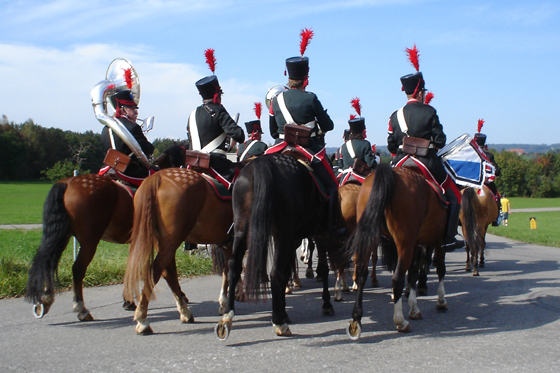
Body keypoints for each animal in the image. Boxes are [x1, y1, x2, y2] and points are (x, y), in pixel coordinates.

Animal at [26, 146, 184, 320]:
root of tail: (66, 183)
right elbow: (161, 268)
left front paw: (129, 301)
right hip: (89, 242)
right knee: (77, 269)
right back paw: (81, 309)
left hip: (62, 236)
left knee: (48, 261)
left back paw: (45, 301)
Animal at [121, 166, 235, 334]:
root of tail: (157, 178)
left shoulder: (229, 244)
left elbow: (227, 272)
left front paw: (224, 303)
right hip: (172, 240)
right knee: (155, 271)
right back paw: (143, 320)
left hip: (162, 242)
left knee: (168, 273)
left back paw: (185, 312)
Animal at [214, 153, 346, 338]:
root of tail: (262, 165)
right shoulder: (318, 234)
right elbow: (322, 269)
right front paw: (326, 304)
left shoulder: (291, 239)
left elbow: (287, 272)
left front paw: (284, 311)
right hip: (283, 232)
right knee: (274, 272)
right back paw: (279, 323)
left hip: (242, 229)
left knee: (234, 267)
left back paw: (227, 315)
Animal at [346, 164, 450, 338]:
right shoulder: (438, 241)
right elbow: (440, 268)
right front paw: (441, 301)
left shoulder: (416, 244)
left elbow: (414, 273)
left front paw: (414, 308)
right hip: (404, 243)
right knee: (397, 279)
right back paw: (400, 321)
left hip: (371, 236)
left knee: (361, 273)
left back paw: (356, 319)